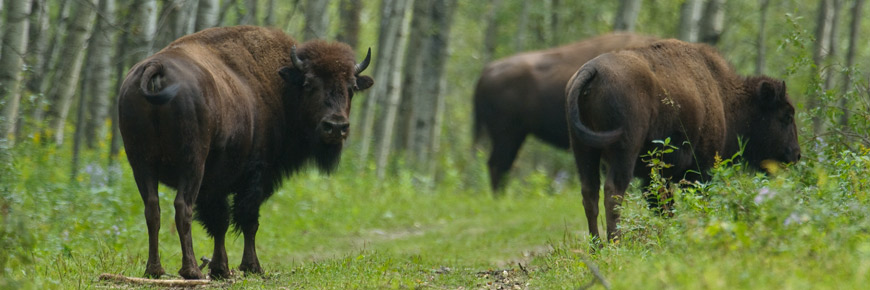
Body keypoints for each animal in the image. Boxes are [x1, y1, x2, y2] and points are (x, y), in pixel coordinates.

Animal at [117, 26, 372, 280]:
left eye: (351, 88)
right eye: (309, 84)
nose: (336, 126)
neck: (282, 86)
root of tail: (157, 67)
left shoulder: (215, 185)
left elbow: (220, 222)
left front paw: (220, 268)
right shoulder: (256, 174)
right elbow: (247, 220)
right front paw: (251, 266)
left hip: (141, 164)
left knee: (153, 209)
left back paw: (154, 269)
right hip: (192, 165)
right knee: (182, 208)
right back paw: (191, 270)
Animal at [564, 38, 804, 242]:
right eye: (787, 115)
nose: (796, 154)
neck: (723, 95)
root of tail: (592, 70)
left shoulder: (655, 175)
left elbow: (663, 205)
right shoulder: (701, 169)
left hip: (583, 150)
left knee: (589, 193)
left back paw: (596, 246)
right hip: (624, 151)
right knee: (613, 192)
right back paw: (615, 243)